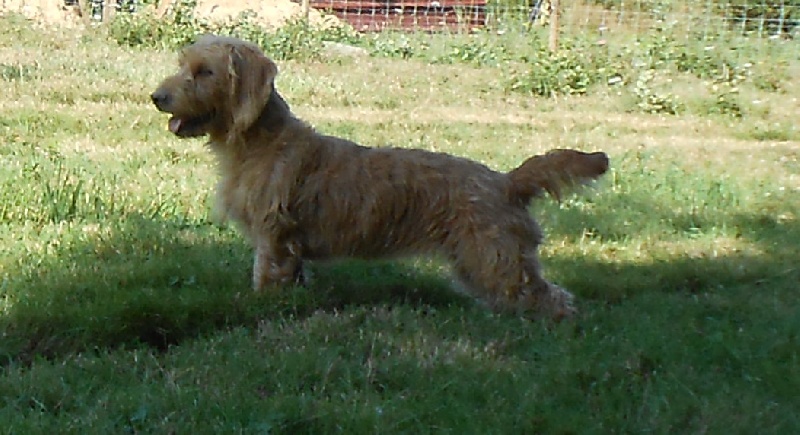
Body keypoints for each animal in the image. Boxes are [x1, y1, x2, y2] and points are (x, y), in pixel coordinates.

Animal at [151, 35, 609, 320]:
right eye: (183, 65)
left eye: (205, 71)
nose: (157, 96)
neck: (258, 143)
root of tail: (508, 181)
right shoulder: (289, 245)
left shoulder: (274, 238)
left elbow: (267, 280)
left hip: (495, 259)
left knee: (552, 298)